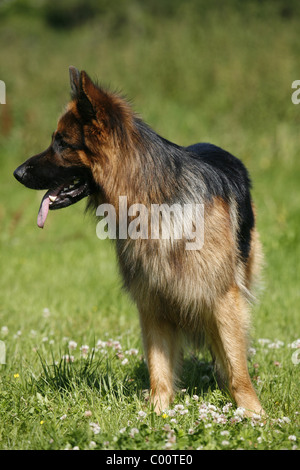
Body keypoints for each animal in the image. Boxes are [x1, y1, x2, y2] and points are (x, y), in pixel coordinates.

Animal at [12, 66, 264, 414]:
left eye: (62, 143)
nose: (16, 173)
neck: (151, 200)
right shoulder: (152, 300)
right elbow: (158, 365)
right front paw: (158, 411)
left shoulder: (222, 295)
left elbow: (237, 363)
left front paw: (253, 412)